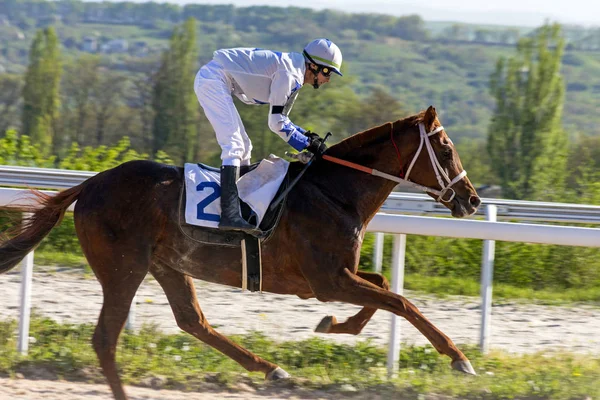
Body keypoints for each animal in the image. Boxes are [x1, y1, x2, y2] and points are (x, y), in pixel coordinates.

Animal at [0, 104, 478, 398]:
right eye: (446, 149)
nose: (471, 200)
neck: (335, 192)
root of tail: (90, 184)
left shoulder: (337, 276)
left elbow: (383, 287)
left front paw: (334, 325)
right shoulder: (327, 280)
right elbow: (400, 300)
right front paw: (459, 358)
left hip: (168, 264)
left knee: (192, 321)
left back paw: (270, 368)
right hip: (123, 267)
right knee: (106, 339)